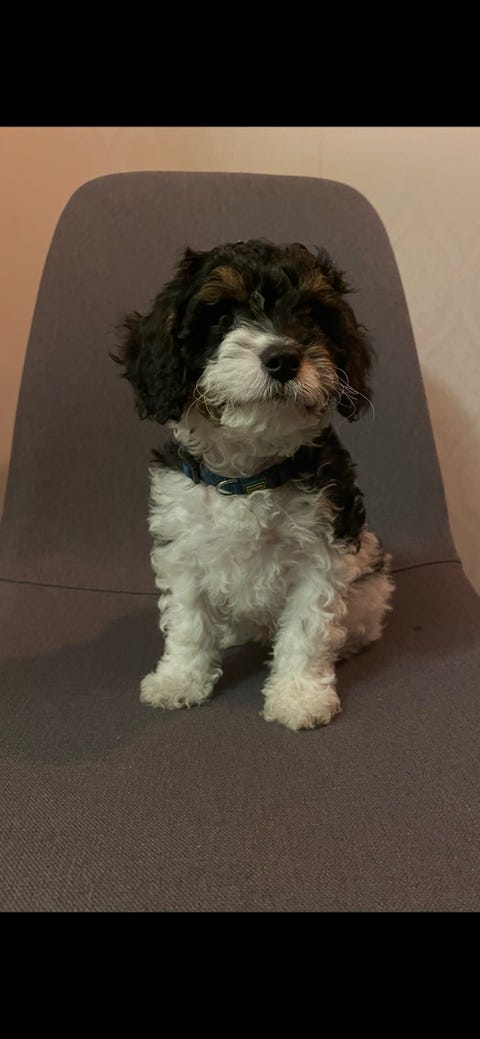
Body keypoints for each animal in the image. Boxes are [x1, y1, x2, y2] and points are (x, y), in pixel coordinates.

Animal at [112, 239, 394, 730]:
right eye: (223, 315)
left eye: (311, 316)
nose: (283, 357)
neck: (247, 474)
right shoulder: (182, 546)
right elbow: (187, 620)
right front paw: (179, 680)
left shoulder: (321, 552)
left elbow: (307, 628)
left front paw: (299, 696)